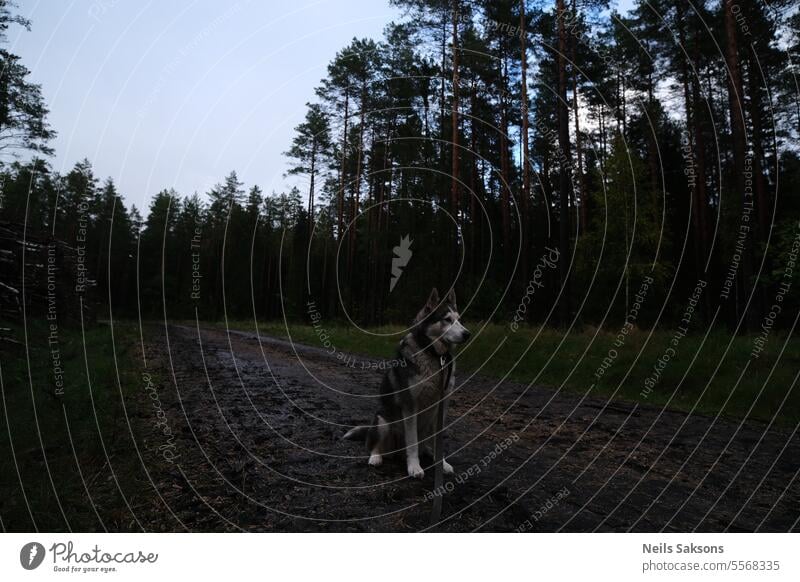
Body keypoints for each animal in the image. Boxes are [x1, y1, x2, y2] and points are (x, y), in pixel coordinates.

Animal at [342, 288, 468, 480]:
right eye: (447, 319)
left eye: (459, 319)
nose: (467, 334)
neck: (433, 355)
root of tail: (397, 453)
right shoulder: (410, 406)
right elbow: (412, 443)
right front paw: (414, 467)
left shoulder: (442, 406)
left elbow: (438, 442)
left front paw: (442, 464)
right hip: (382, 421)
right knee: (375, 446)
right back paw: (376, 458)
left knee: (424, 445)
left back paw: (428, 453)